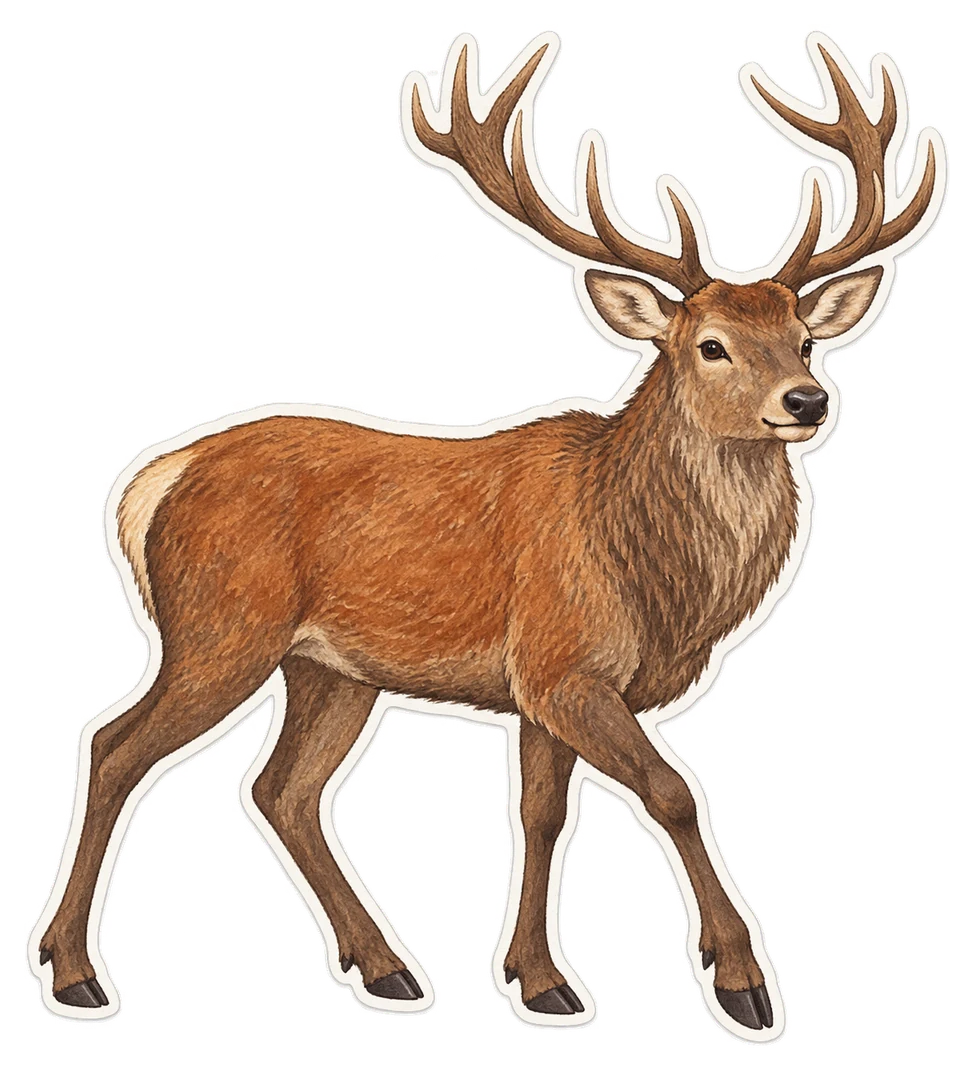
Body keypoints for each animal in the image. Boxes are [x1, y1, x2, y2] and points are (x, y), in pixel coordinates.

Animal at [29, 30, 944, 1036]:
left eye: (805, 340)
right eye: (711, 346)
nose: (808, 401)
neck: (649, 573)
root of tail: (152, 484)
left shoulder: (542, 686)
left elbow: (543, 814)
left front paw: (539, 979)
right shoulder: (563, 661)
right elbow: (672, 792)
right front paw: (741, 981)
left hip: (331, 667)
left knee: (282, 788)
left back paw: (387, 966)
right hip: (220, 627)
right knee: (116, 746)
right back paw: (74, 972)